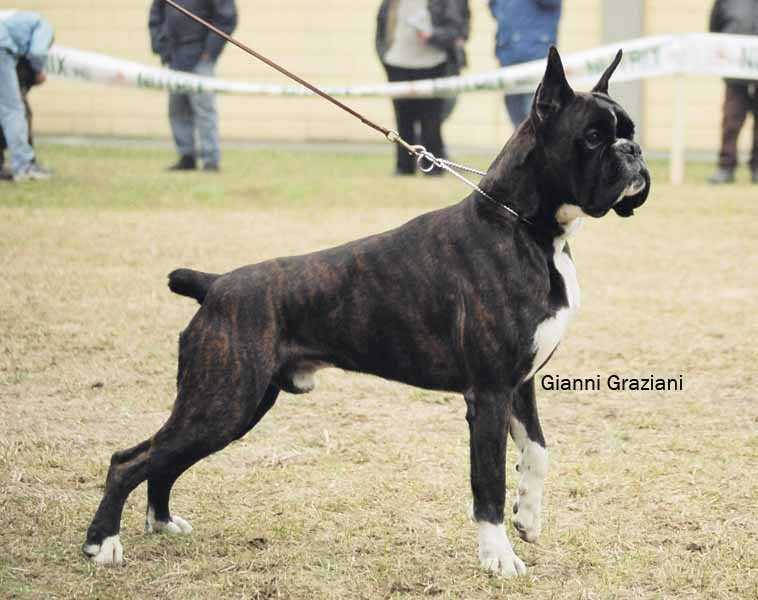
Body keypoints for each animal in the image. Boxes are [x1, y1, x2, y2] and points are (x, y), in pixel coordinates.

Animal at [84, 49, 652, 576]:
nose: (634, 150)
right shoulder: (489, 393)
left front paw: (528, 518)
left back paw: (161, 521)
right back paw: (102, 543)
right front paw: (498, 556)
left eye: (628, 131)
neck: (526, 228)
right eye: (593, 137)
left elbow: (536, 452)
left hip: (233, 407)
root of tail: (216, 283)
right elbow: (487, 481)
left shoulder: (521, 383)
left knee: (164, 460)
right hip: (221, 402)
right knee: (129, 460)